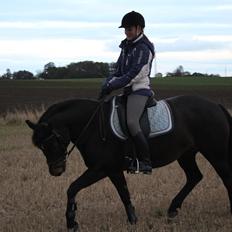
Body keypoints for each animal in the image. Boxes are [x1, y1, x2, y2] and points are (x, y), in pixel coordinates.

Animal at [25, 94, 232, 232]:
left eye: (52, 141)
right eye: (41, 146)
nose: (56, 170)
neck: (92, 126)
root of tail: (216, 105)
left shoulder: (99, 169)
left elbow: (72, 188)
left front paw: (71, 222)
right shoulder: (112, 170)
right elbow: (124, 193)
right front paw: (133, 220)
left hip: (217, 154)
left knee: (225, 177)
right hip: (186, 154)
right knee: (194, 177)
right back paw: (173, 209)